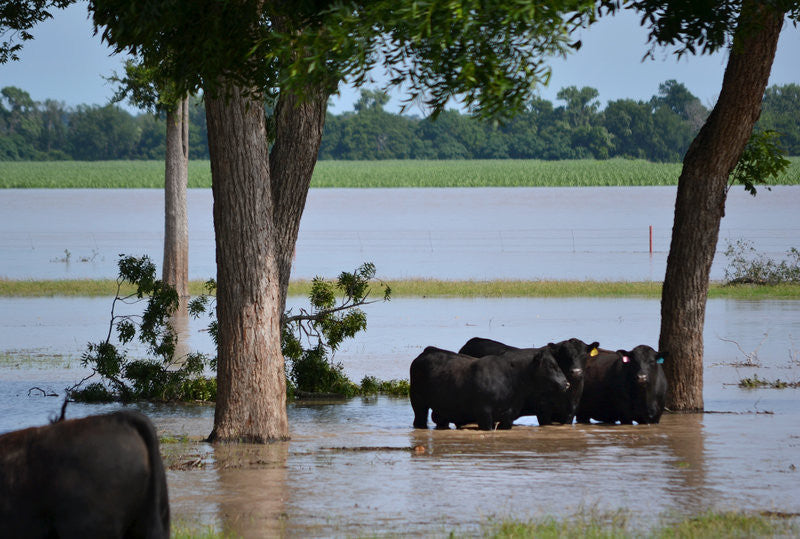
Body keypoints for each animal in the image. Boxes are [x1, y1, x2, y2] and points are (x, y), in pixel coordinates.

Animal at [412, 348, 568, 432]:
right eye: (551, 366)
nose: (566, 384)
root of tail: (428, 351)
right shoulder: (484, 413)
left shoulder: (508, 416)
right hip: (418, 402)